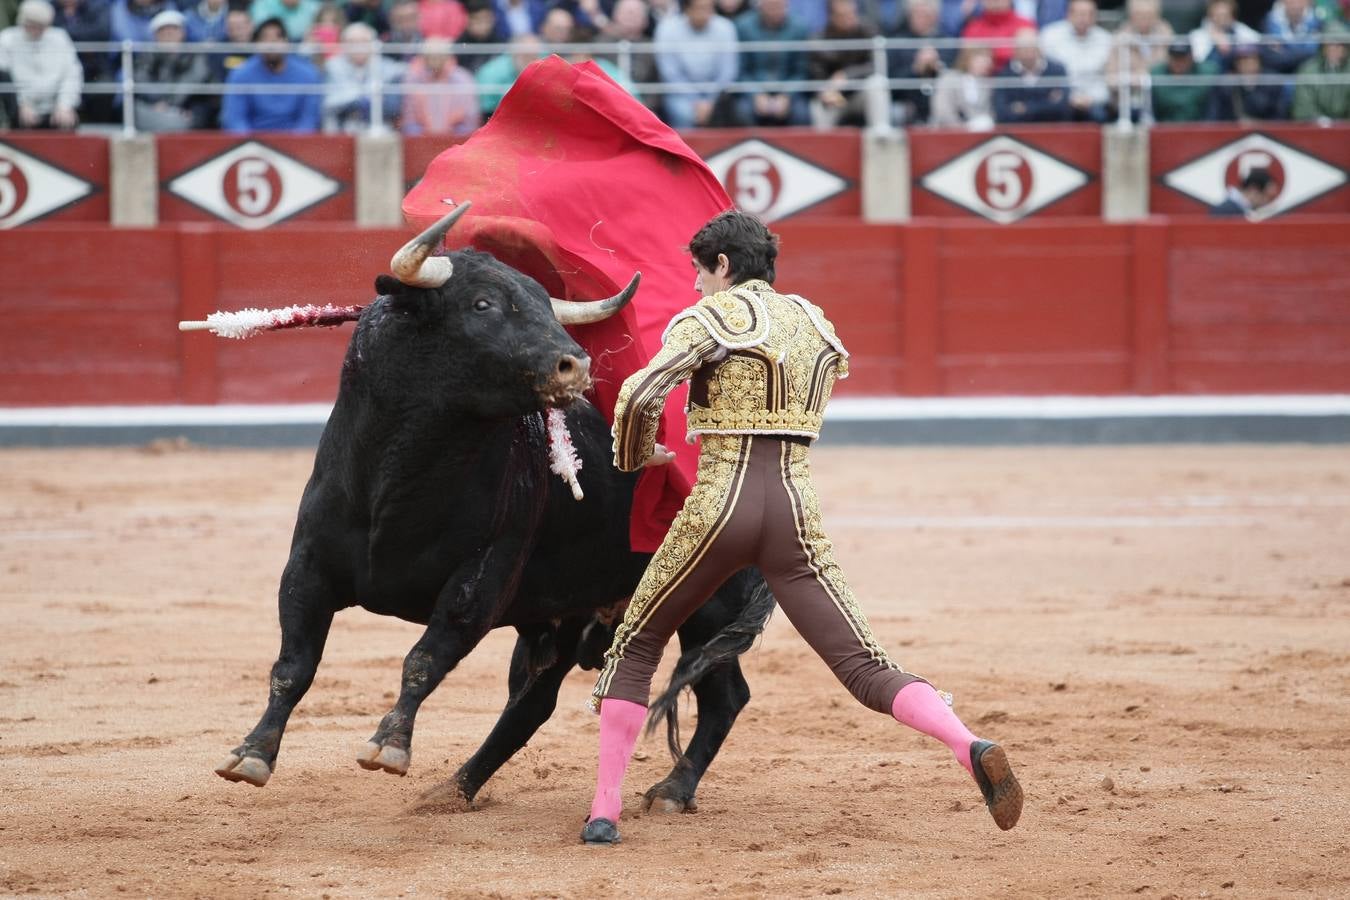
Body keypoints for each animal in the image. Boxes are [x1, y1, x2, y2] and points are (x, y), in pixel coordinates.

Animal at [216, 221, 777, 814]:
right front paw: (250, 754)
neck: (400, 478)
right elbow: (292, 666)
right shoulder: (307, 570)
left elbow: (424, 658)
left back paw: (671, 790)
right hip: (566, 613)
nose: (576, 364)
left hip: (709, 607)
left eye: (547, 307)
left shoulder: (480, 581)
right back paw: (455, 788)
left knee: (724, 695)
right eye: (482, 304)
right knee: (534, 701)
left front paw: (389, 746)